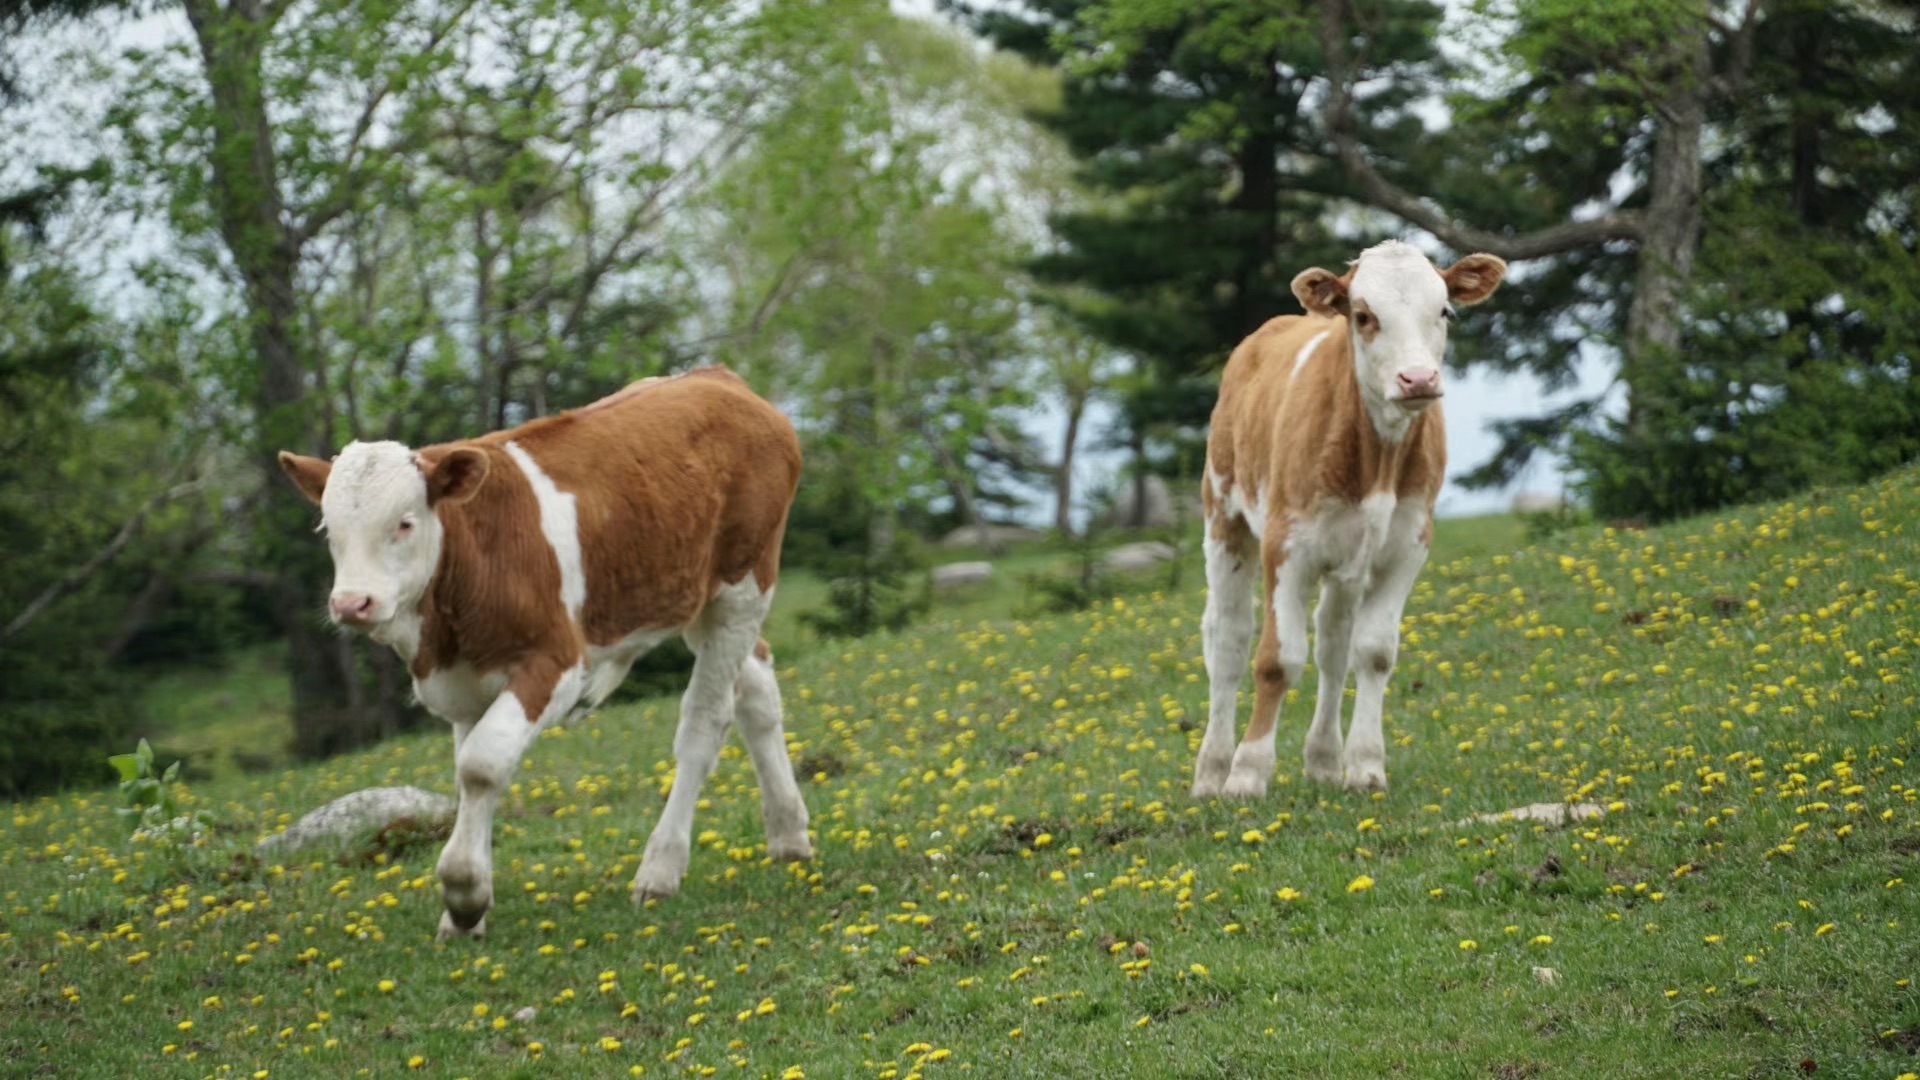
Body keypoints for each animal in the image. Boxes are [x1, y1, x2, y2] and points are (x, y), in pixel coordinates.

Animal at [274, 367, 806, 933]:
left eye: (404, 522)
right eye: (329, 529)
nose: (353, 603)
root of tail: (718, 378)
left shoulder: (556, 663)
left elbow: (482, 763)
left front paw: (464, 892)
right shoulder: (464, 682)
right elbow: (471, 774)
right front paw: (467, 914)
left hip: (742, 584)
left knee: (705, 720)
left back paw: (660, 870)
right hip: (694, 594)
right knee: (756, 685)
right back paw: (790, 835)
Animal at [1198, 244, 1497, 795]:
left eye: (1445, 311)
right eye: (1363, 316)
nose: (1418, 379)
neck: (1375, 458)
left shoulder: (1406, 546)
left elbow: (1373, 651)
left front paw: (1365, 765)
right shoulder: (1285, 546)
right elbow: (1277, 659)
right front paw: (1248, 773)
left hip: (1347, 557)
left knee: (1333, 643)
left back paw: (1322, 759)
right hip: (1224, 515)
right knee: (1227, 638)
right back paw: (1211, 770)